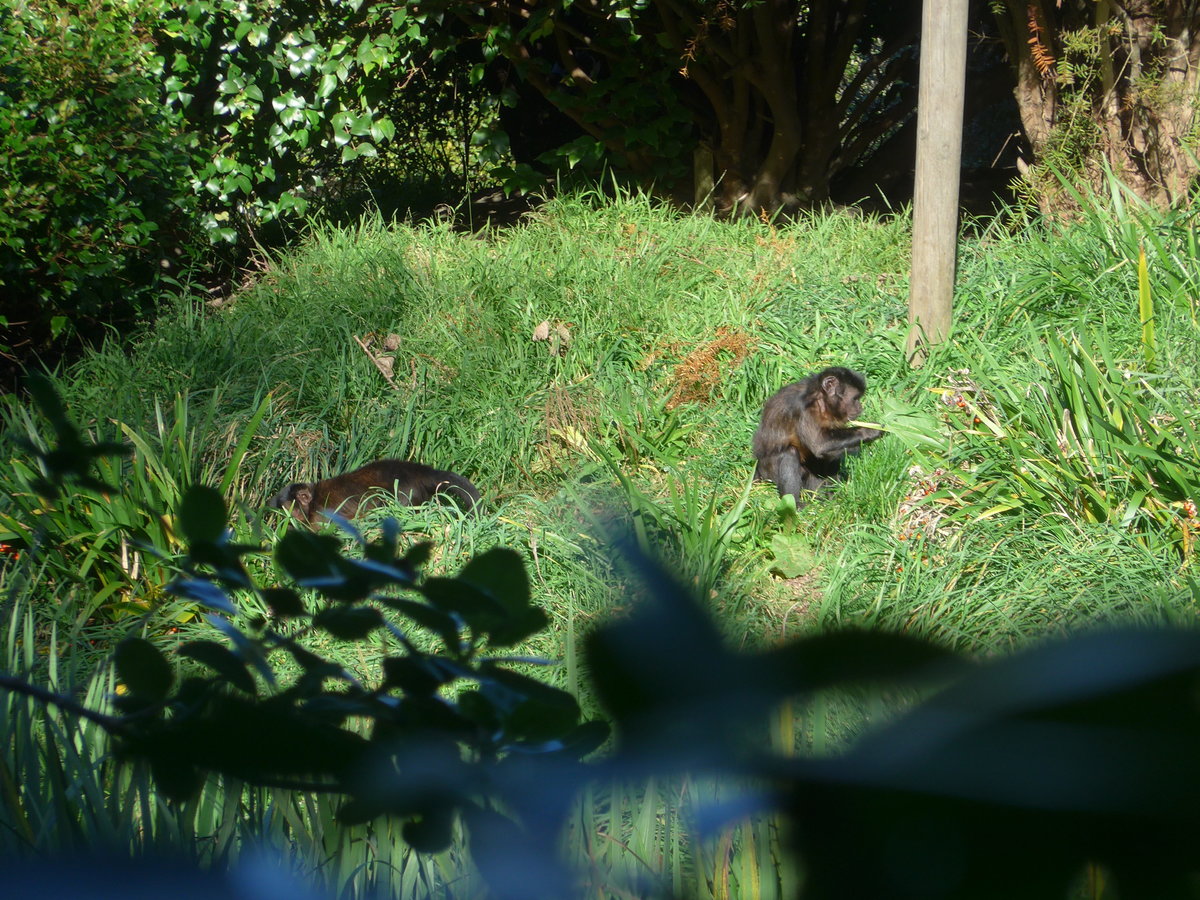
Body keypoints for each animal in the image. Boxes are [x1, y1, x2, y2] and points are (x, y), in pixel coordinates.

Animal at [267, 459, 480, 524]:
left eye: (294, 510)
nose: (291, 518)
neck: (313, 499)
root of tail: (420, 471)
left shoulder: (320, 515)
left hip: (408, 493)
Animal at [752, 367, 884, 502]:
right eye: (855, 398)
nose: (860, 407)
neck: (821, 401)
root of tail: (758, 469)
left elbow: (826, 452)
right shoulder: (805, 409)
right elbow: (819, 444)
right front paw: (869, 430)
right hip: (768, 473)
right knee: (790, 453)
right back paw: (795, 503)